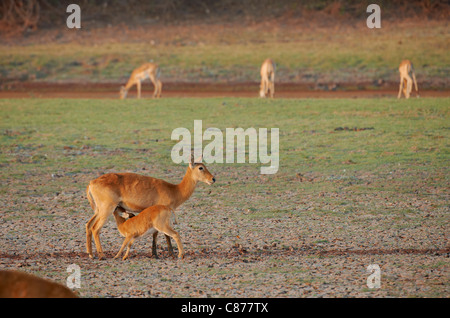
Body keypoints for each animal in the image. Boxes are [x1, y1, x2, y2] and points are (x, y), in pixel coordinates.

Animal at [86, 155, 216, 260]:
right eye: (200, 167)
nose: (213, 179)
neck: (174, 190)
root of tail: (92, 182)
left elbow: (156, 234)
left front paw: (155, 254)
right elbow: (164, 235)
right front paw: (171, 254)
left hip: (98, 210)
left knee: (88, 225)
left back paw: (91, 254)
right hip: (106, 210)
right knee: (96, 228)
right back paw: (102, 256)